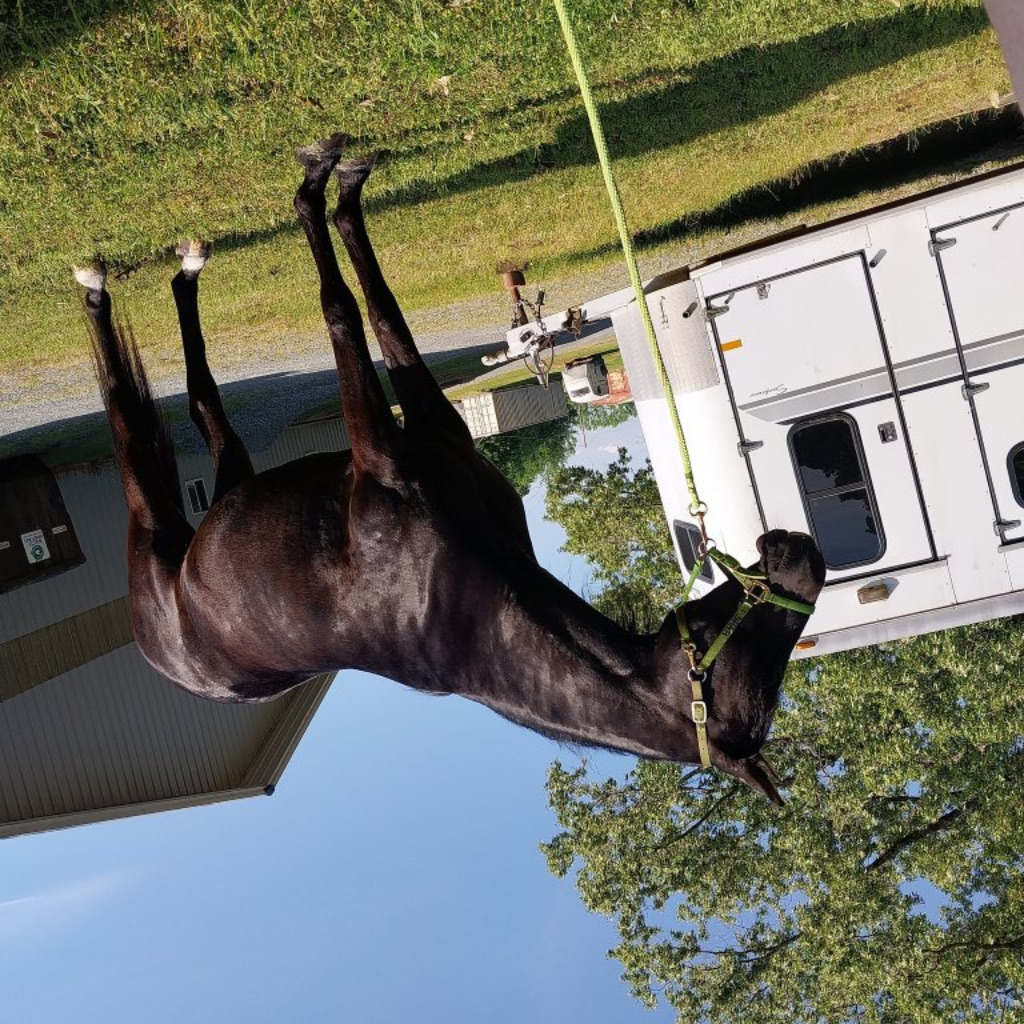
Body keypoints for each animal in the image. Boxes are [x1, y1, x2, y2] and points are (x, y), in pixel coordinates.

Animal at [77, 134, 825, 804]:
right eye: (749, 660)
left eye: (752, 683)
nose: (803, 554)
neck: (465, 599)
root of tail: (159, 648)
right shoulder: (411, 425)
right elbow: (368, 310)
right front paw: (336, 181)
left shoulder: (388, 440)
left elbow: (351, 309)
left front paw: (323, 188)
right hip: (190, 515)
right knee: (165, 409)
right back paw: (142, 275)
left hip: (191, 515)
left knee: (174, 414)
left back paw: (139, 277)